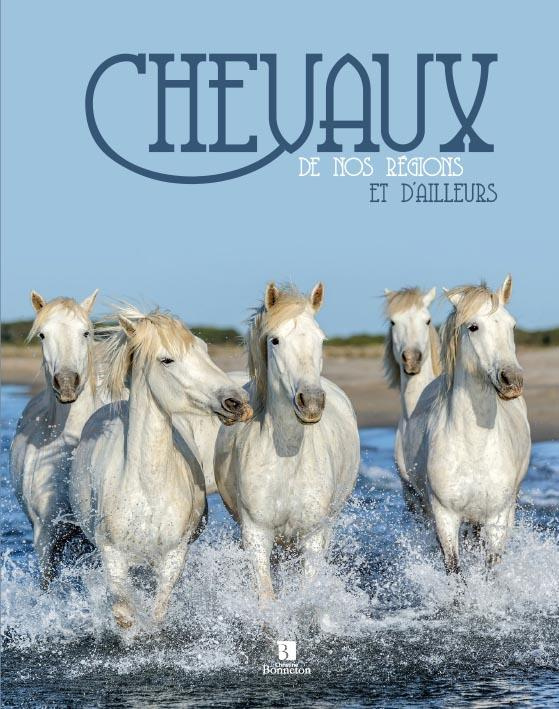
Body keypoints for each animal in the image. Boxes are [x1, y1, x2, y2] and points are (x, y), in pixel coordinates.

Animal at [69, 307, 252, 628]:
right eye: (167, 360)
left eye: (203, 350)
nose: (236, 402)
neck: (146, 488)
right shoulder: (112, 555)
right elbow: (124, 614)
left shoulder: (172, 557)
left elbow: (157, 614)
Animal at [214, 283, 360, 603]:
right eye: (275, 340)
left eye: (321, 339)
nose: (312, 403)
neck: (287, 460)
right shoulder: (256, 536)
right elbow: (267, 599)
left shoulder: (312, 537)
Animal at [402, 276, 531, 573]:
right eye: (473, 327)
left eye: (512, 325)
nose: (512, 381)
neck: (475, 447)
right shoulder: (445, 517)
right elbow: (455, 570)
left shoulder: (497, 518)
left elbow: (490, 569)